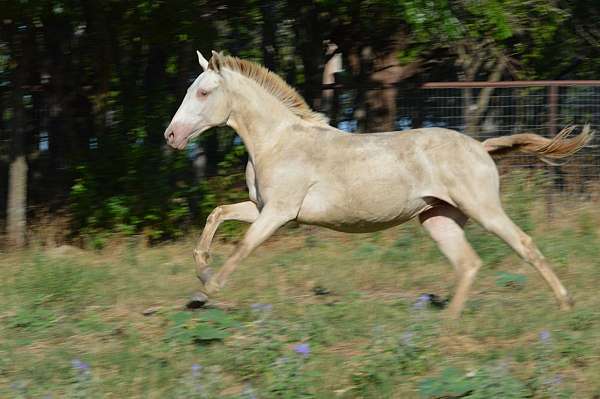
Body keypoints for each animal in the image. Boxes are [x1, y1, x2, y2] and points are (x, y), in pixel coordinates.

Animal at [163, 50, 592, 318]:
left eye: (203, 91)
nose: (171, 135)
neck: (279, 141)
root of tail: (481, 146)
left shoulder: (280, 213)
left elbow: (243, 247)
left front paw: (204, 293)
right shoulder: (262, 208)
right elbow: (217, 214)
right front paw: (202, 272)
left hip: (483, 209)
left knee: (524, 244)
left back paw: (566, 303)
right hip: (438, 219)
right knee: (468, 263)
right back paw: (448, 325)